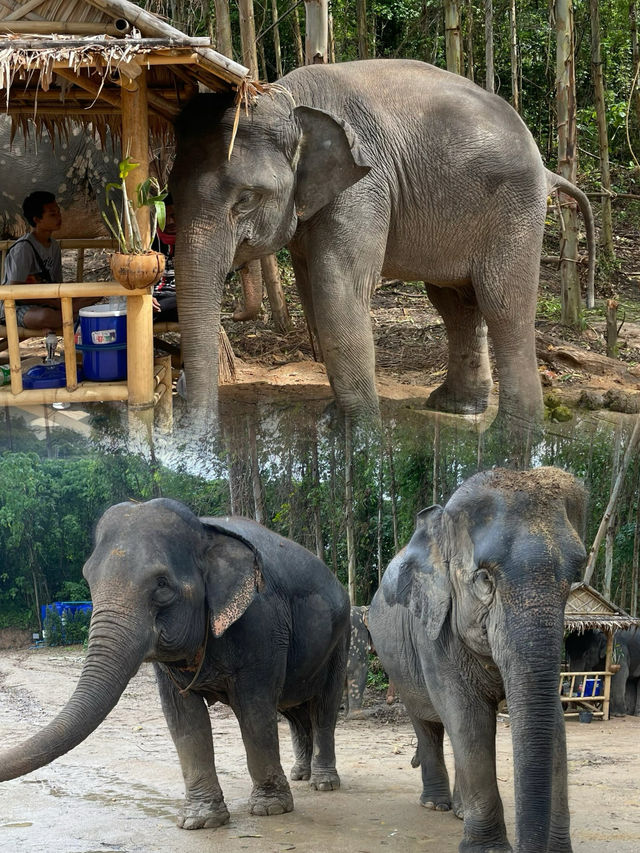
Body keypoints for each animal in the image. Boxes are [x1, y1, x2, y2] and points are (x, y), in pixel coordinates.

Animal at [0, 496, 350, 828]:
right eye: (88, 578)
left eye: (162, 584)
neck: (206, 532)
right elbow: (182, 717)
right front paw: (200, 821)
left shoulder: (262, 623)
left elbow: (255, 708)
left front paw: (270, 810)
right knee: (294, 711)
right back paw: (300, 774)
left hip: (343, 635)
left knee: (324, 707)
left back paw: (323, 783)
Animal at [169, 59, 596, 426]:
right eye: (170, 193)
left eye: (246, 199)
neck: (288, 98)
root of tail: (546, 170)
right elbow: (313, 297)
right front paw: (334, 422)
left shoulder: (365, 186)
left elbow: (337, 290)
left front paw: (359, 434)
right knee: (456, 301)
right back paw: (455, 407)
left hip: (516, 211)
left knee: (503, 302)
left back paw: (508, 438)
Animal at [368, 466, 588, 852]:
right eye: (484, 578)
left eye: (575, 578)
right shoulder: (433, 632)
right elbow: (466, 716)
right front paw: (488, 849)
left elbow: (555, 723)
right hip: (398, 663)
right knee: (428, 724)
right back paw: (435, 804)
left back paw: (458, 811)